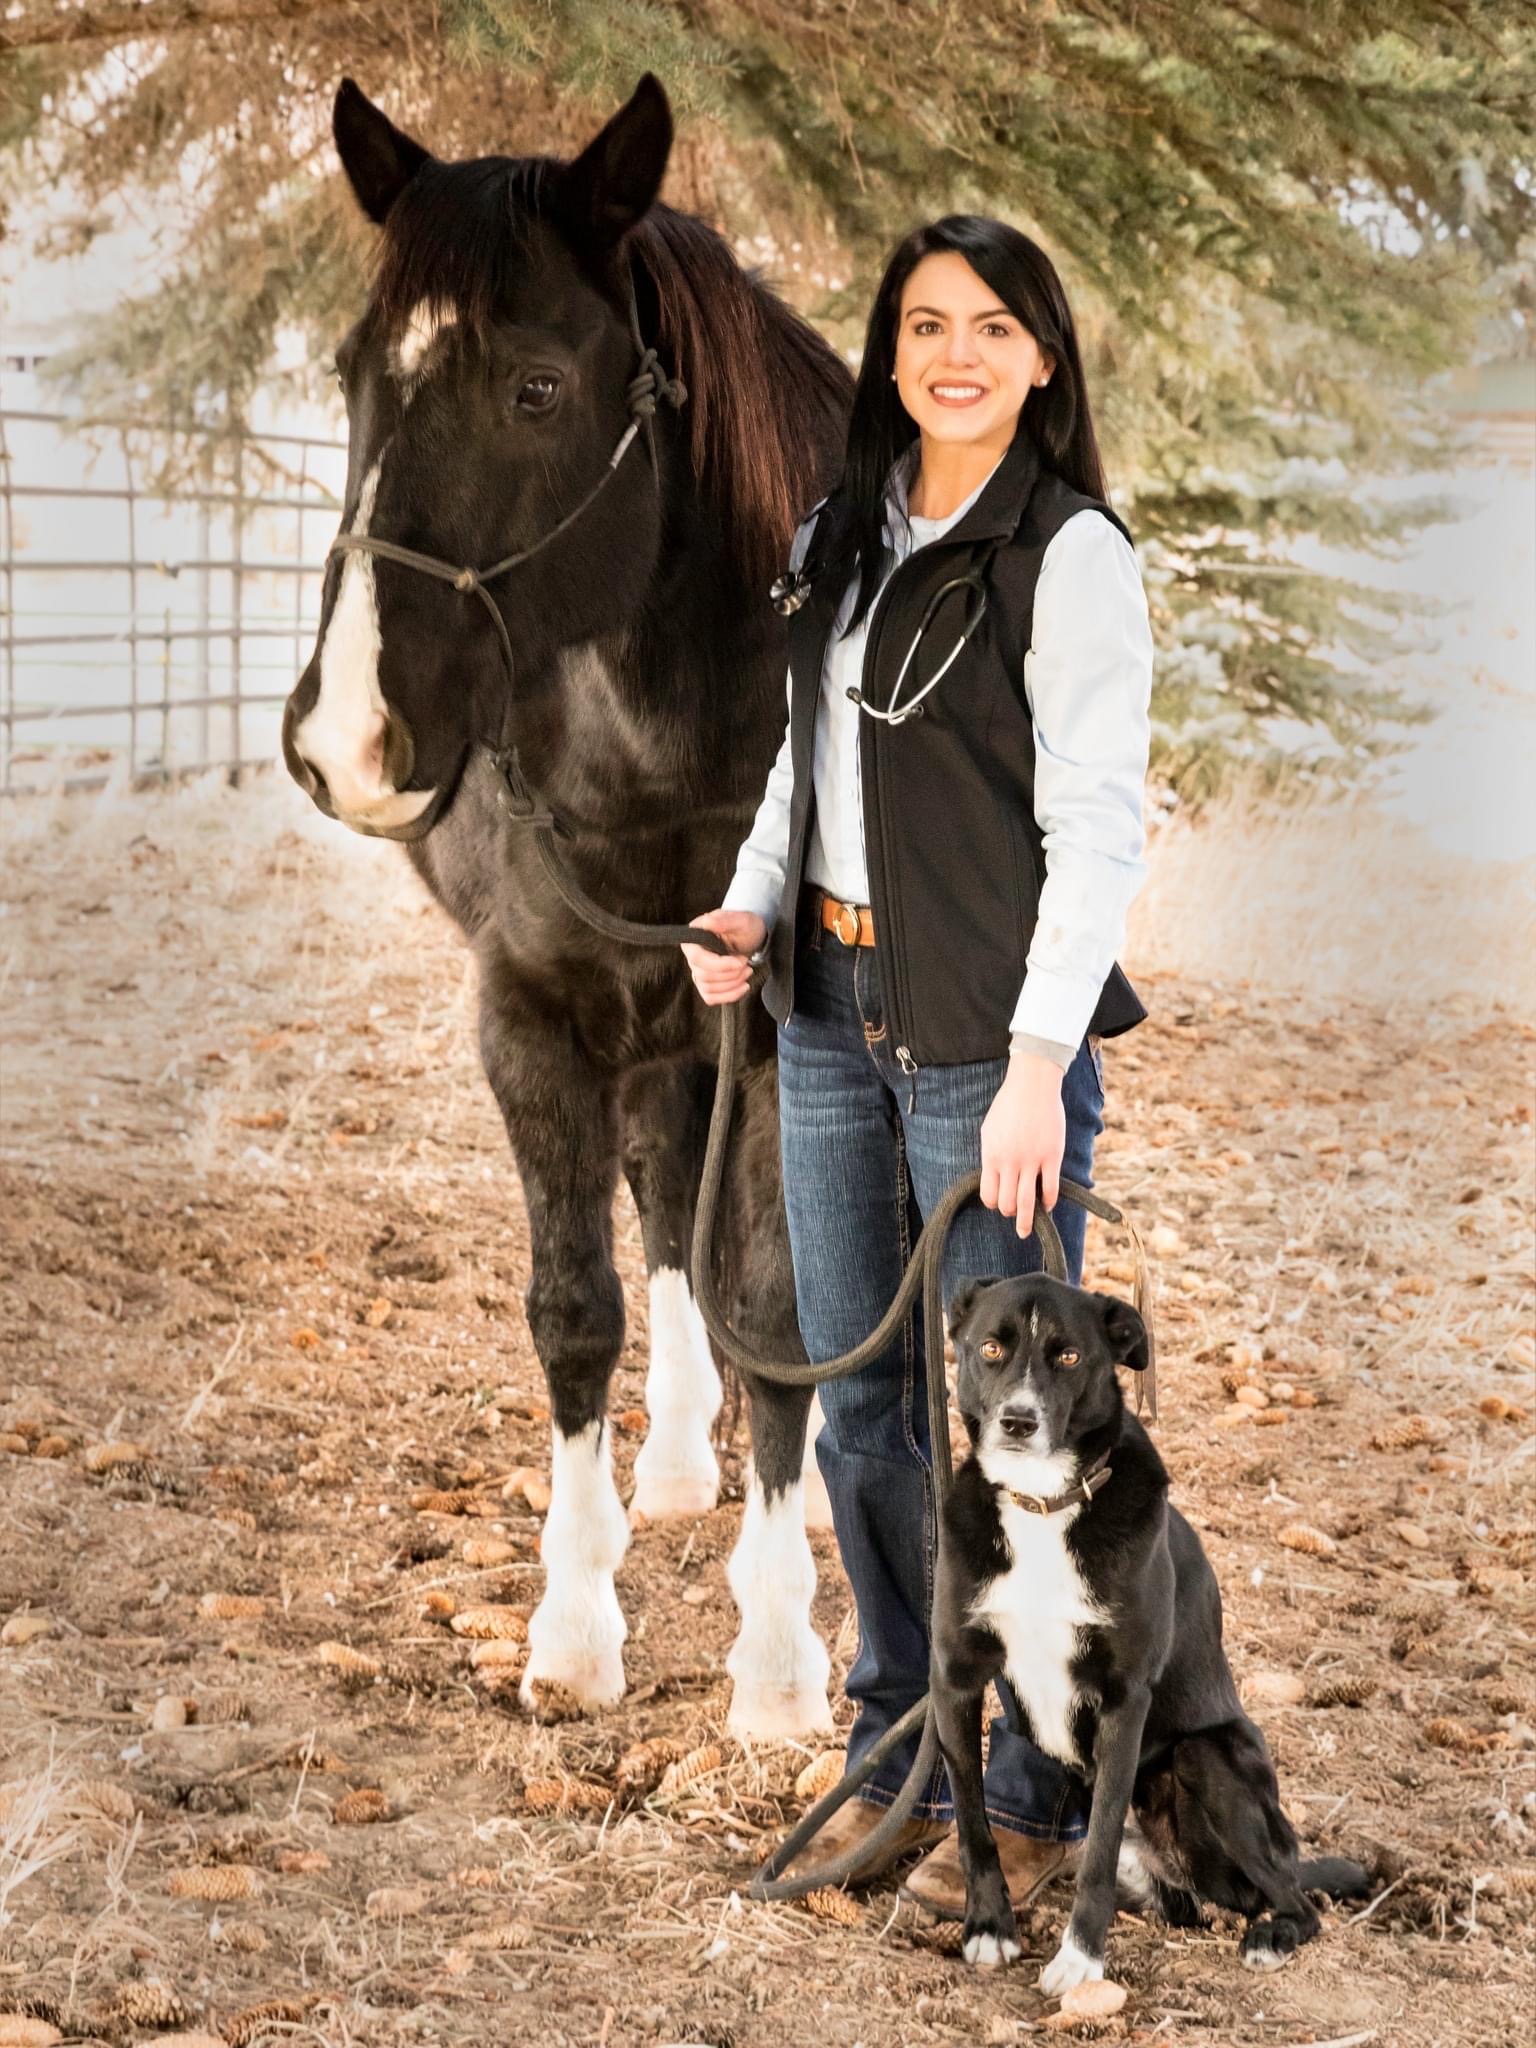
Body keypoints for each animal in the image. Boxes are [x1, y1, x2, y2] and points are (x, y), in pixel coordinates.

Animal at [284, 75, 860, 1728]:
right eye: (351, 370)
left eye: (538, 389)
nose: (348, 737)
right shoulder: (531, 1017)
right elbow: (574, 1305)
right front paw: (574, 1626)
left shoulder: (776, 1038)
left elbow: (780, 1310)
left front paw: (780, 1658)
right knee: (661, 1201)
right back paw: (668, 1466)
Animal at [933, 1269, 1368, 1990]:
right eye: (990, 1349)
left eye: (1069, 1356)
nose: (1018, 1422)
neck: (1043, 1503)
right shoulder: (955, 1676)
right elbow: (973, 1820)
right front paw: (989, 1926)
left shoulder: (1124, 1697)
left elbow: (1102, 1844)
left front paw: (1081, 1959)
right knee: (1189, 1903)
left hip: (1207, 1758)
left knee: (1296, 1901)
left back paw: (1272, 1936)